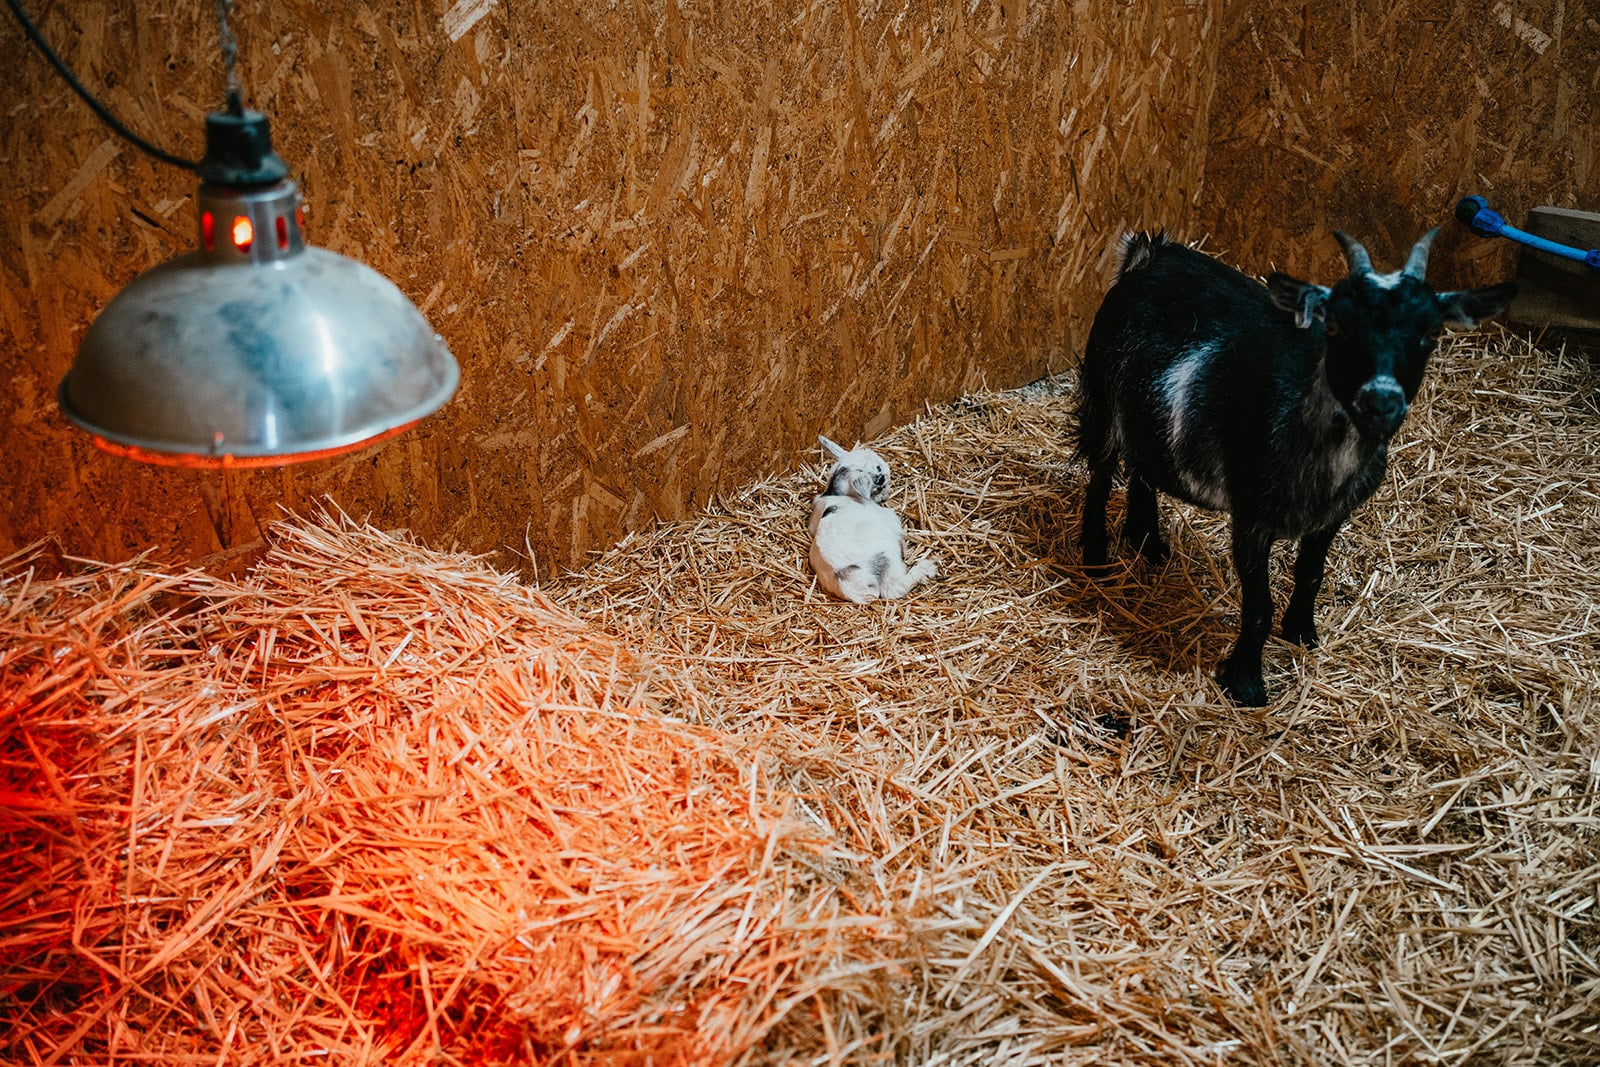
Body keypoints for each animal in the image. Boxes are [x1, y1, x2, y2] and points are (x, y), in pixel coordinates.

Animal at [1075, 229, 1515, 705]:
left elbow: (1310, 574)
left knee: (1144, 464)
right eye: (1336, 325)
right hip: (1103, 395)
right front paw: (1246, 682)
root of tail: (1150, 254)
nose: (1380, 401)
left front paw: (1302, 632)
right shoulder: (1251, 516)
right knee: (1101, 474)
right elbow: (1258, 608)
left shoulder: (1332, 515)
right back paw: (1096, 556)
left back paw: (1147, 542)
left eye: (1431, 331)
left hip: (1148, 409)